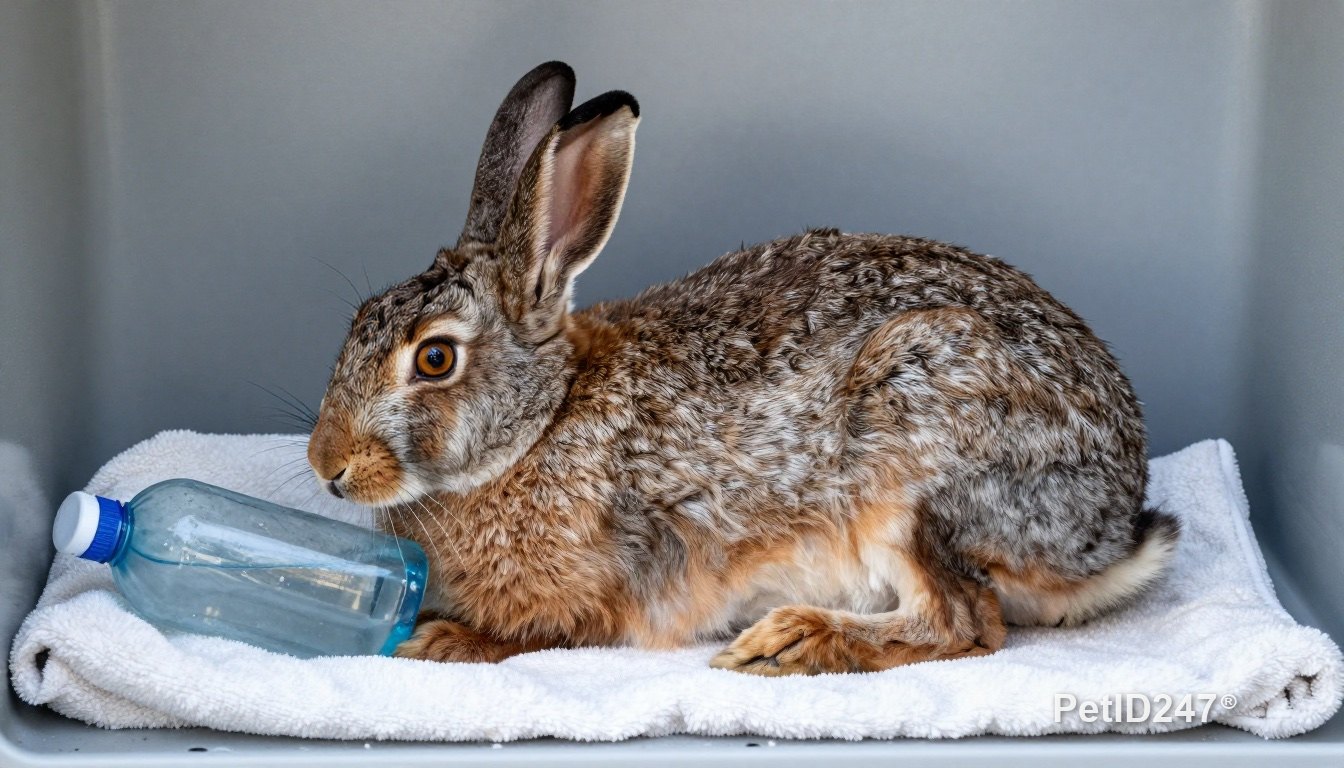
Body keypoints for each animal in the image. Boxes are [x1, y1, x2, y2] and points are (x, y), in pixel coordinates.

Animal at [307, 61, 1179, 675]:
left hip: (915, 453)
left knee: (965, 620)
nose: (327, 465)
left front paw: (442, 640)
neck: (541, 422)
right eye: (355, 325)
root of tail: (1110, 532)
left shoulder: (592, 591)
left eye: (435, 357)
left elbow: (539, 632)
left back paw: (789, 644)